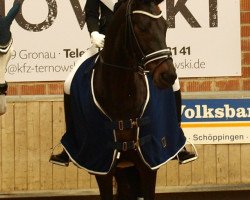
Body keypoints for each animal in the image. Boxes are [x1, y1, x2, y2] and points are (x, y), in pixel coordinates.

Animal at [61, 0, 185, 200]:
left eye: (166, 26)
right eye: (142, 27)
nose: (168, 76)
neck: (123, 95)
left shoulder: (149, 165)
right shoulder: (102, 167)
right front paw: (98, 39)